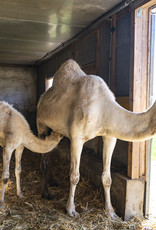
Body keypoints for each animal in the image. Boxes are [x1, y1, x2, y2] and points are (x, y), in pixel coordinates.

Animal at [36, 58, 156, 218]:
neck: (103, 108)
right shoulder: (77, 137)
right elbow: (74, 176)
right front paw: (71, 210)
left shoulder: (110, 136)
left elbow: (107, 178)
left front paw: (111, 212)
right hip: (41, 124)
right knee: (44, 159)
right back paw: (46, 193)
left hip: (56, 131)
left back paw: (53, 182)